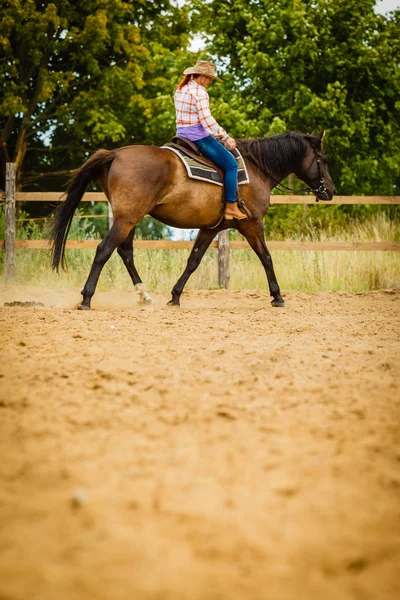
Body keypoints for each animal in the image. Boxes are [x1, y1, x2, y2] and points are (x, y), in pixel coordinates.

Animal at [51, 131, 336, 310]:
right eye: (323, 159)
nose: (330, 191)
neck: (257, 170)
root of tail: (116, 154)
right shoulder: (252, 224)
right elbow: (266, 257)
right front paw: (277, 296)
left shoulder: (212, 227)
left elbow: (193, 261)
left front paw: (175, 297)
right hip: (127, 218)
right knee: (104, 250)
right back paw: (86, 299)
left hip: (128, 218)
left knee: (125, 252)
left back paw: (144, 296)